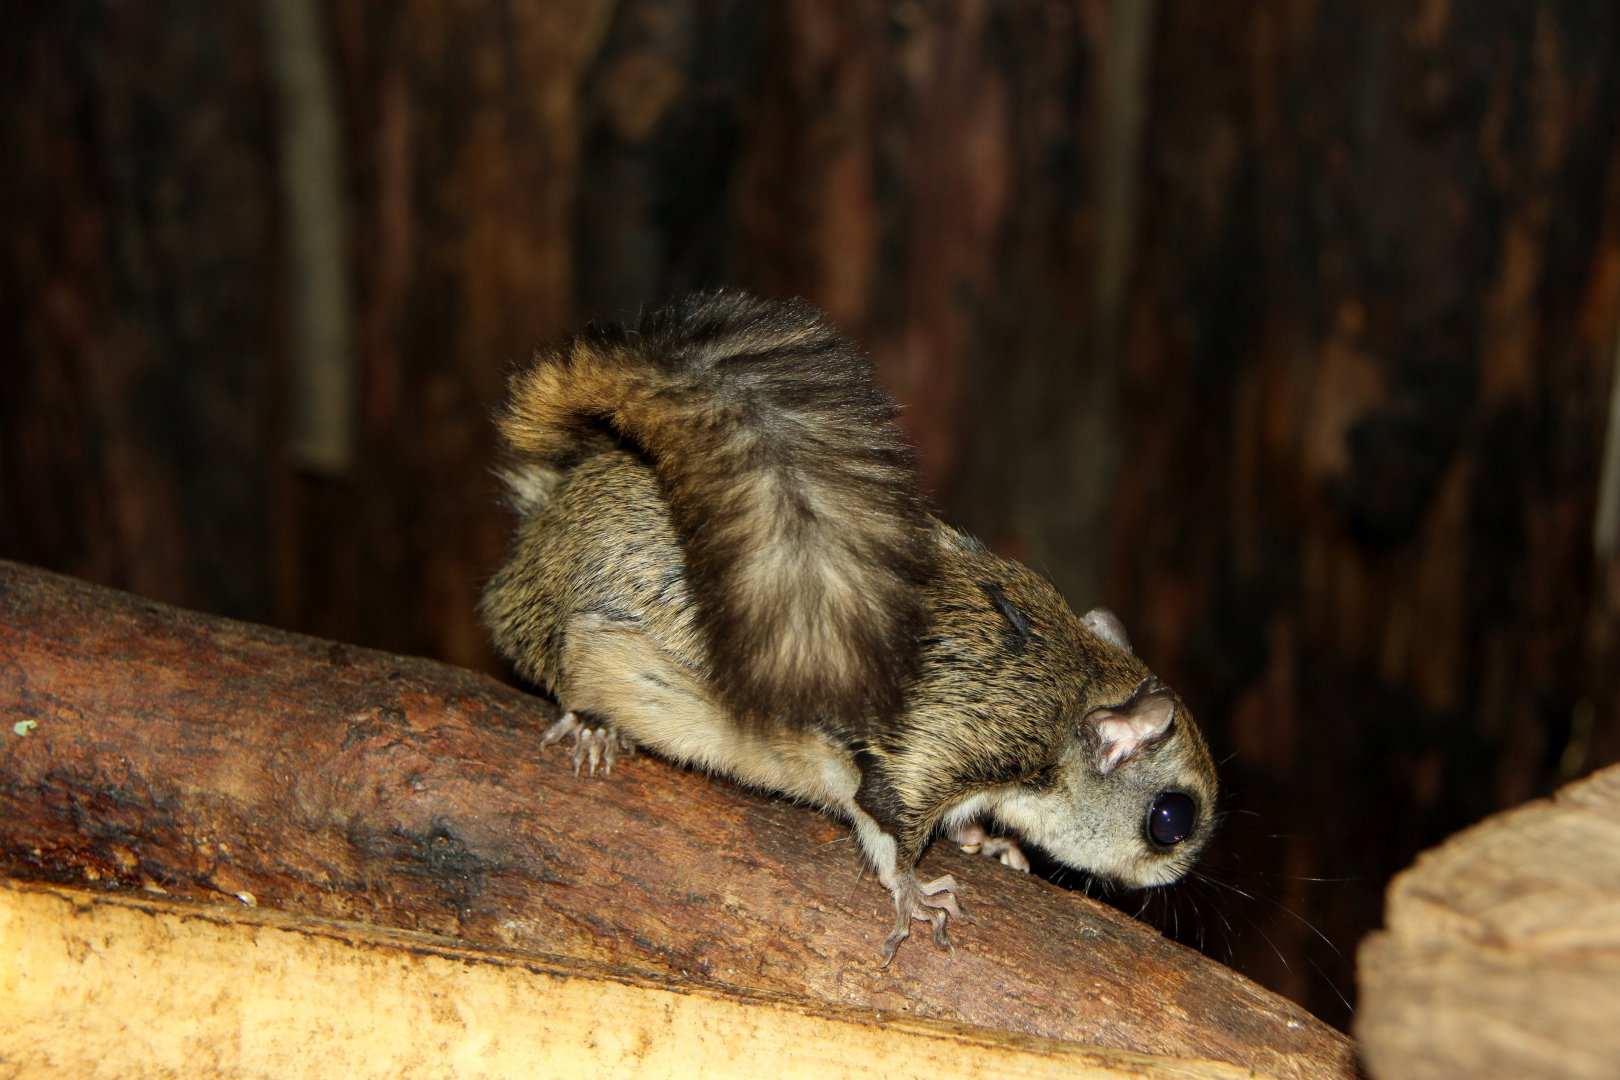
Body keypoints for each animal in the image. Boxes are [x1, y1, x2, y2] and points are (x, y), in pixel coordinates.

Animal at [481, 291, 1218, 961]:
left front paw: (987, 840)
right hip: (586, 646)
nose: (1171, 879)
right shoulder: (954, 736)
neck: (1071, 681)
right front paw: (915, 892)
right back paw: (591, 726)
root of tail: (547, 512)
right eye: (1171, 821)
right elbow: (891, 819)